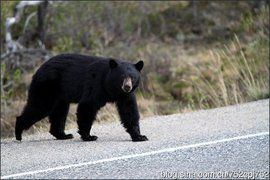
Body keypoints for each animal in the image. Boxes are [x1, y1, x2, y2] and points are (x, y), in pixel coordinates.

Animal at [15, 53, 149, 142]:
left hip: (60, 96)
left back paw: (63, 135)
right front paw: (89, 136)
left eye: (132, 77)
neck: (111, 87)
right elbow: (88, 105)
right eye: (122, 76)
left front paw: (139, 136)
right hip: (46, 87)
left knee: (59, 112)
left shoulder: (125, 96)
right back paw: (18, 133)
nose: (127, 86)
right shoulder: (96, 85)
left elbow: (129, 111)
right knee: (39, 107)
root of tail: (39, 69)